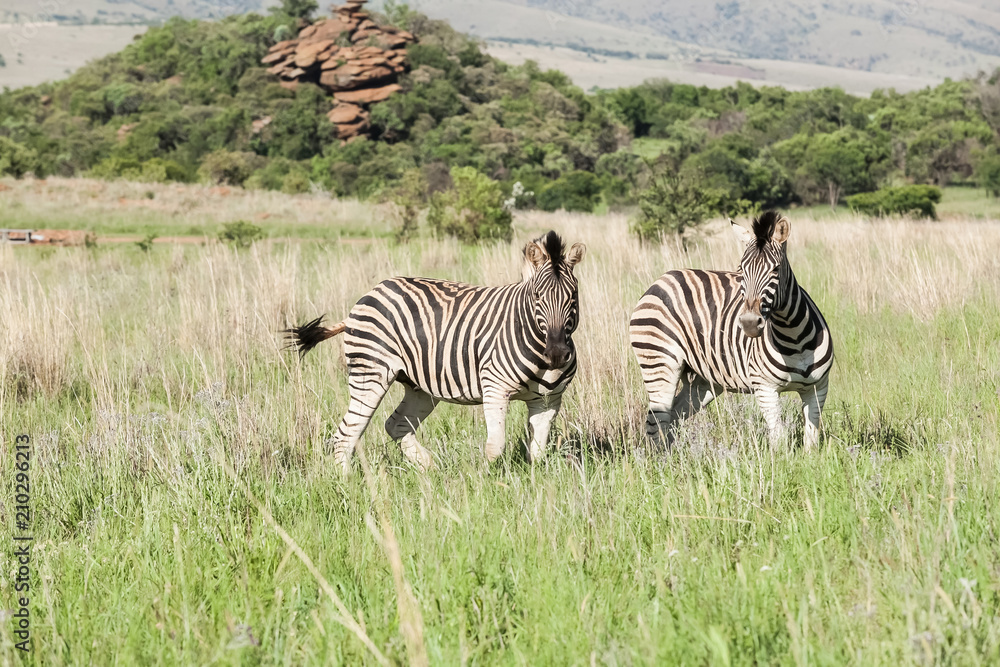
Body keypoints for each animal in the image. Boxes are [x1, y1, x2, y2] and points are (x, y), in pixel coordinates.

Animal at [286, 231, 586, 472]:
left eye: (573, 296)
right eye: (537, 297)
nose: (557, 354)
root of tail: (372, 291)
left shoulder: (547, 401)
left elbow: (538, 452)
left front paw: (535, 488)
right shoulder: (495, 389)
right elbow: (495, 446)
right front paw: (481, 482)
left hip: (419, 387)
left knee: (396, 424)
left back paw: (429, 469)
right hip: (370, 373)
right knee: (347, 434)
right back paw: (346, 484)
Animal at [629, 210, 833, 450]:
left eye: (775, 269)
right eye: (742, 270)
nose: (749, 323)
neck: (794, 337)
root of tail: (661, 279)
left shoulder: (818, 388)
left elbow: (812, 439)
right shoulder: (765, 389)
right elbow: (778, 438)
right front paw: (780, 459)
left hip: (704, 380)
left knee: (673, 417)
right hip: (659, 362)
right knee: (656, 421)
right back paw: (662, 460)